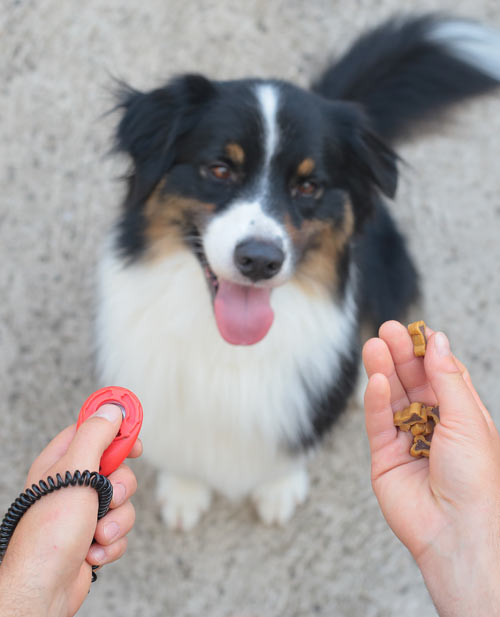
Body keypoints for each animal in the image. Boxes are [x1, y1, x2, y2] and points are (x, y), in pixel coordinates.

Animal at [96, 14, 500, 528]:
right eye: (219, 169)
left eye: (309, 185)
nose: (259, 260)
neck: (229, 348)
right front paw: (185, 489)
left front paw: (278, 486)